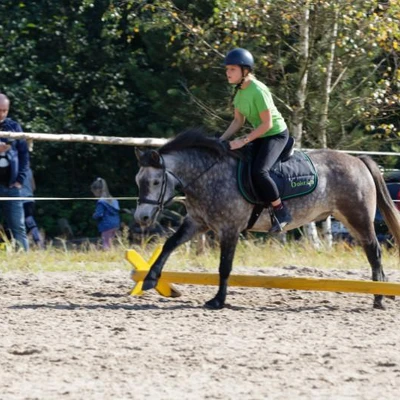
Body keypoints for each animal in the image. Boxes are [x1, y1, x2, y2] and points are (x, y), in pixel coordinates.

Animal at [134, 128, 400, 310]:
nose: (142, 217)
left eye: (155, 182)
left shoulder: (229, 228)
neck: (208, 175)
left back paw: (378, 297)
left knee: (374, 252)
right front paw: (149, 280)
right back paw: (380, 294)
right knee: (371, 252)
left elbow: (224, 266)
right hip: (349, 220)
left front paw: (218, 301)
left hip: (358, 218)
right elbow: (169, 245)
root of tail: (358, 161)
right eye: (139, 181)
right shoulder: (197, 222)